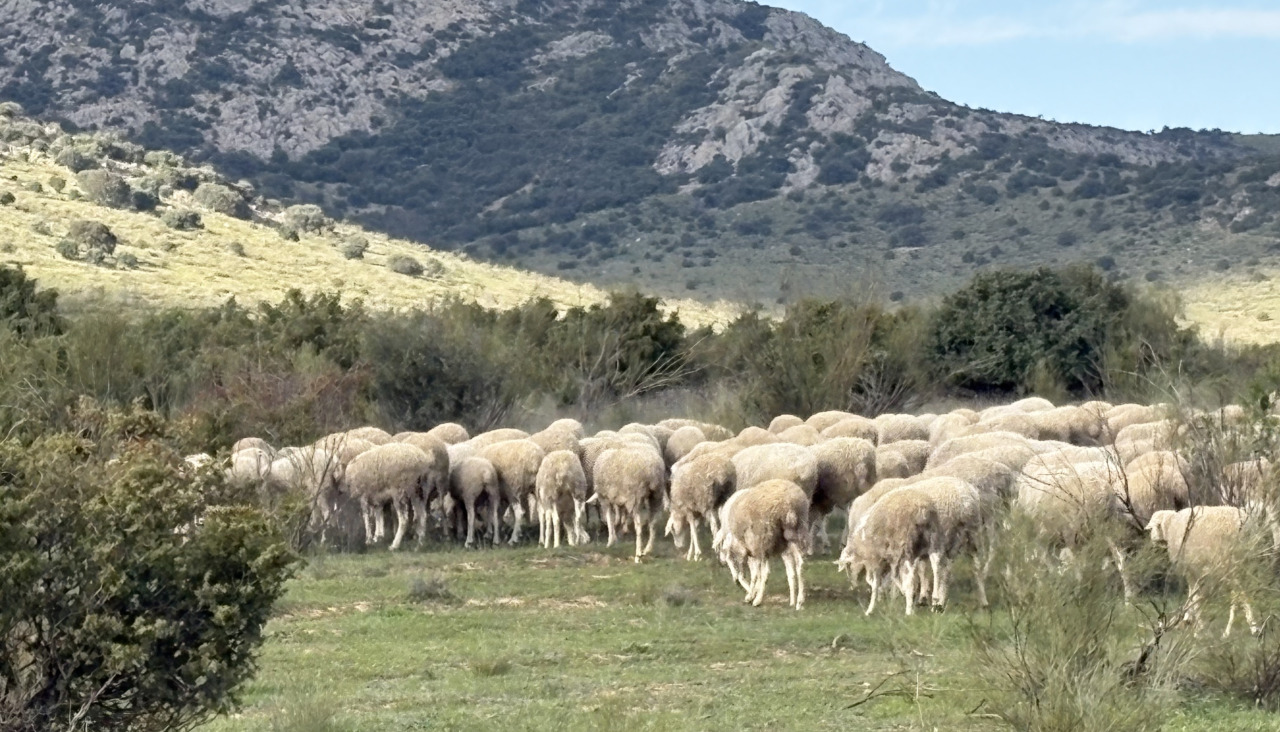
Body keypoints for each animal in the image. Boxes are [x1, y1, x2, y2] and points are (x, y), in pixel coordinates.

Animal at [718, 479, 810, 609]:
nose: (722, 561)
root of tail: (789, 504)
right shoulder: (753, 552)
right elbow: (754, 574)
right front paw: (751, 592)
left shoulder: (751, 549)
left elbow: (752, 574)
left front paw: (750, 595)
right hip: (795, 534)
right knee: (800, 565)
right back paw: (798, 601)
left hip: (764, 539)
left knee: (766, 572)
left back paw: (758, 600)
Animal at [1146, 506, 1263, 636]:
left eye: (1151, 528)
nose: (1152, 541)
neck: (1171, 524)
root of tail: (1245, 525)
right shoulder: (1198, 570)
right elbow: (1194, 594)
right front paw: (1188, 619)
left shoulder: (1190, 569)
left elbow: (1194, 595)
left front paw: (1195, 626)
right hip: (1246, 562)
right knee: (1243, 591)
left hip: (1227, 563)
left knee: (1239, 593)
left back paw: (1250, 627)